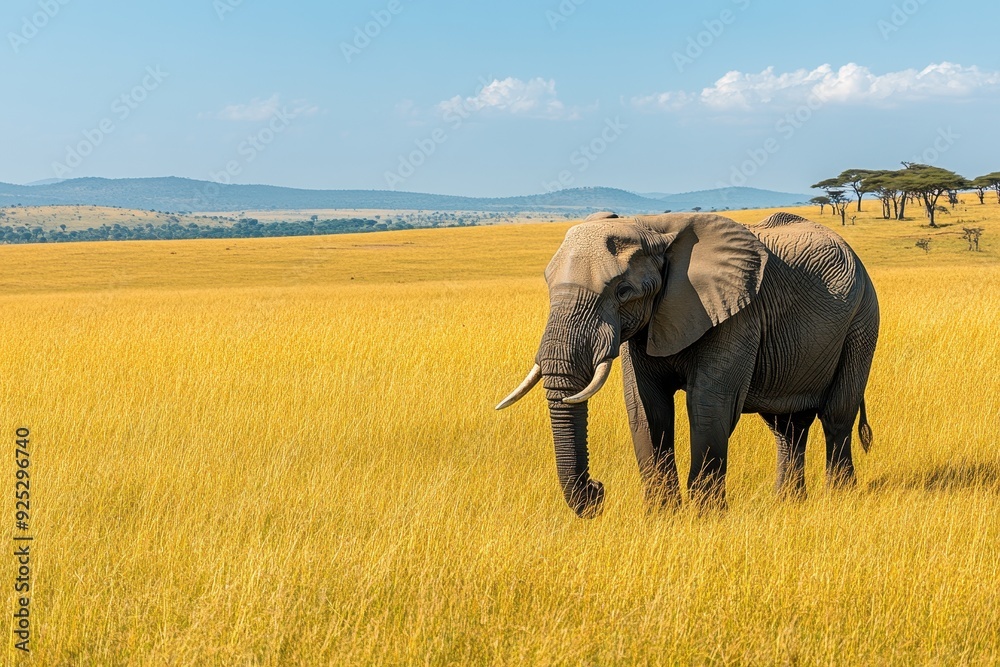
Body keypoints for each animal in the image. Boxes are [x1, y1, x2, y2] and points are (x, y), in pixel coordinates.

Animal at [497, 211, 879, 518]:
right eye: (547, 285)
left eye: (623, 291)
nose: (597, 491)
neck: (652, 228)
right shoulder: (647, 325)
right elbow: (646, 410)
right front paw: (661, 517)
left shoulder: (737, 314)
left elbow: (708, 405)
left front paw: (705, 519)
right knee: (788, 428)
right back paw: (788, 503)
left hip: (862, 320)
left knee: (836, 416)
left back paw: (839, 498)